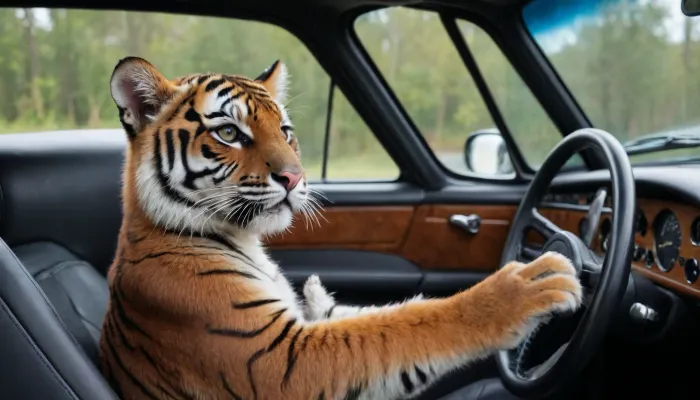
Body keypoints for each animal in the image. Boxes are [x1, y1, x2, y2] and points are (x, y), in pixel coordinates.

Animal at [98, 56, 583, 400]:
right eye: (230, 134)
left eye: (285, 130)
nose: (295, 178)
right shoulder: (279, 360)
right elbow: (408, 325)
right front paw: (525, 287)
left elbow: (376, 314)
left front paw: (318, 294)